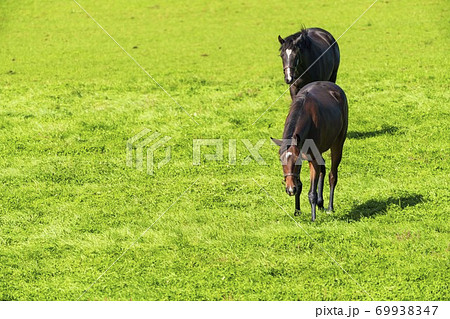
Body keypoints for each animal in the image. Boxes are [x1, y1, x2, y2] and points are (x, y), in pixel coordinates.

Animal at [270, 81, 348, 221]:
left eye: (296, 161)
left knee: (332, 175)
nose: (290, 189)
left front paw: (313, 217)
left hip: (338, 143)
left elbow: (312, 192)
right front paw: (297, 211)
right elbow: (299, 184)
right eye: (281, 160)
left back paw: (329, 207)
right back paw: (320, 204)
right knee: (323, 169)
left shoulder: (311, 158)